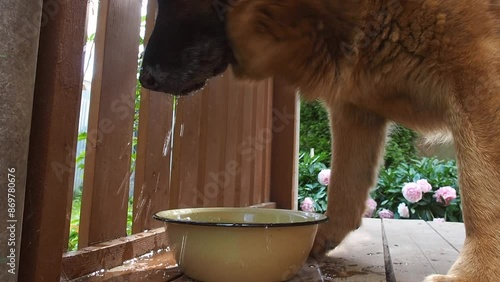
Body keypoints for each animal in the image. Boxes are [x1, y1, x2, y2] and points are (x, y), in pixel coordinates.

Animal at [141, 1, 500, 280]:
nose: (145, 78)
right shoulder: (355, 106)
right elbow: (344, 188)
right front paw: (317, 236)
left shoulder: (478, 71)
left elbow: (482, 194)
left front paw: (475, 273)